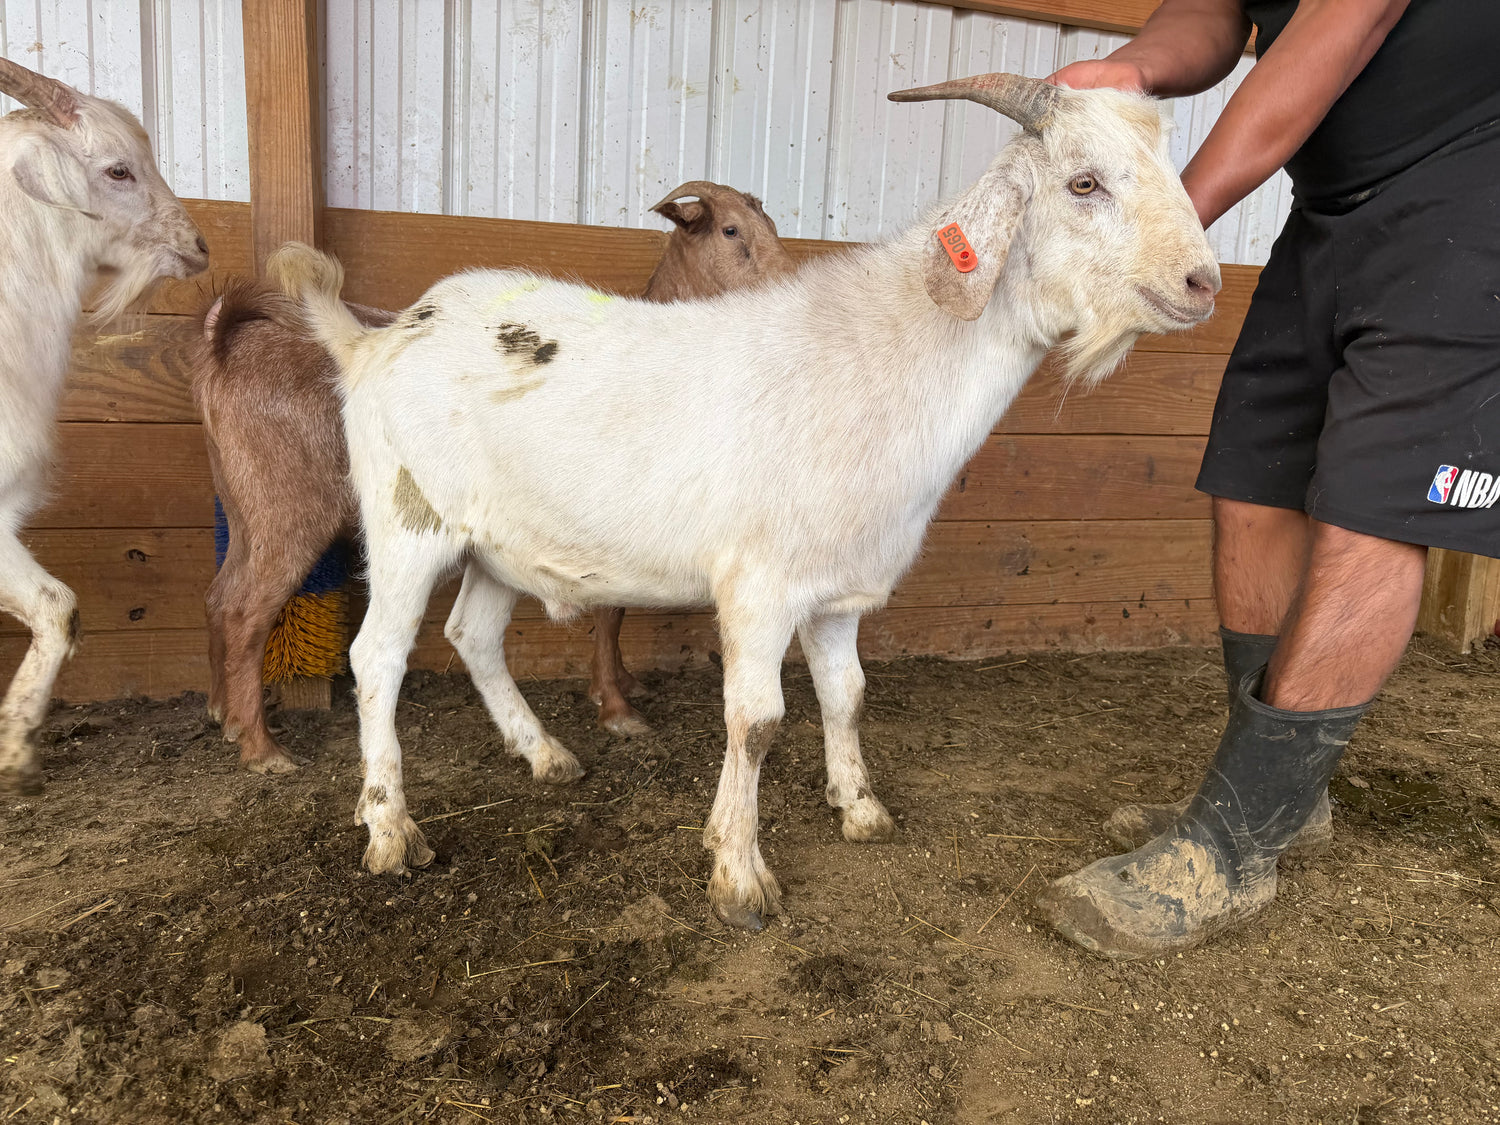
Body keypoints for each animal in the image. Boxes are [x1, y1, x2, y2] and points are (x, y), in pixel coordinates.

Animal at [0, 57, 208, 794]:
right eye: (119, 170)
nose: (197, 245)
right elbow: (57, 605)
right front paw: (16, 748)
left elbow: (57, 607)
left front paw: (14, 748)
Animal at [192, 182, 792, 773]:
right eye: (730, 229)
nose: (785, 281)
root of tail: (225, 340)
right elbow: (611, 609)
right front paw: (616, 707)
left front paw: (618, 687)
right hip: (292, 512)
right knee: (248, 611)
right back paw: (262, 748)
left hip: (245, 510)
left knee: (220, 596)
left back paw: (225, 715)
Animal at [275, 73, 1220, 929]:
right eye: (1083, 183)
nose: (1204, 282)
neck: (886, 360)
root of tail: (375, 339)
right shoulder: (760, 588)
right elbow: (759, 721)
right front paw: (739, 873)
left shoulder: (839, 591)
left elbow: (848, 693)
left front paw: (860, 808)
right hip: (408, 519)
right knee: (376, 658)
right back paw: (390, 828)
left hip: (499, 542)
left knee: (472, 634)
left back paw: (544, 756)